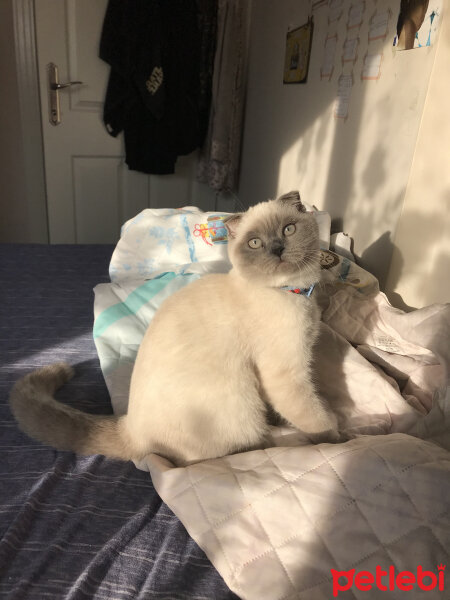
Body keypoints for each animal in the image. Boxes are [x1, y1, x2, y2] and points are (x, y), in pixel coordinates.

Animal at [10, 192, 338, 468]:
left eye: (288, 230)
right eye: (255, 243)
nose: (278, 249)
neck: (294, 292)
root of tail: (130, 427)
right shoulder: (286, 375)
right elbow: (315, 418)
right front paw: (336, 435)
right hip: (241, 403)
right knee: (243, 448)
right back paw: (291, 437)